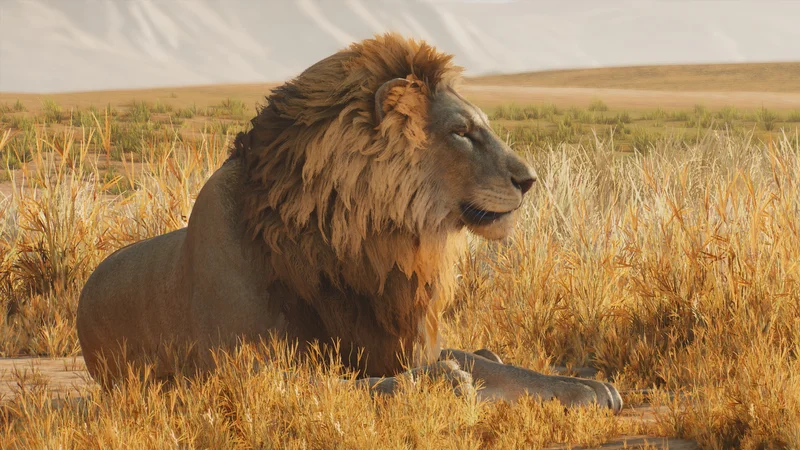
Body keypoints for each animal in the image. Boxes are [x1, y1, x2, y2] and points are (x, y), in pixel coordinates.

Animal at [76, 33, 622, 412]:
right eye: (461, 132)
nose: (530, 180)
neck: (357, 245)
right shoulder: (240, 371)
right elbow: (344, 385)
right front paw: (443, 382)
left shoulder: (396, 340)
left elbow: (486, 365)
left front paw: (586, 386)